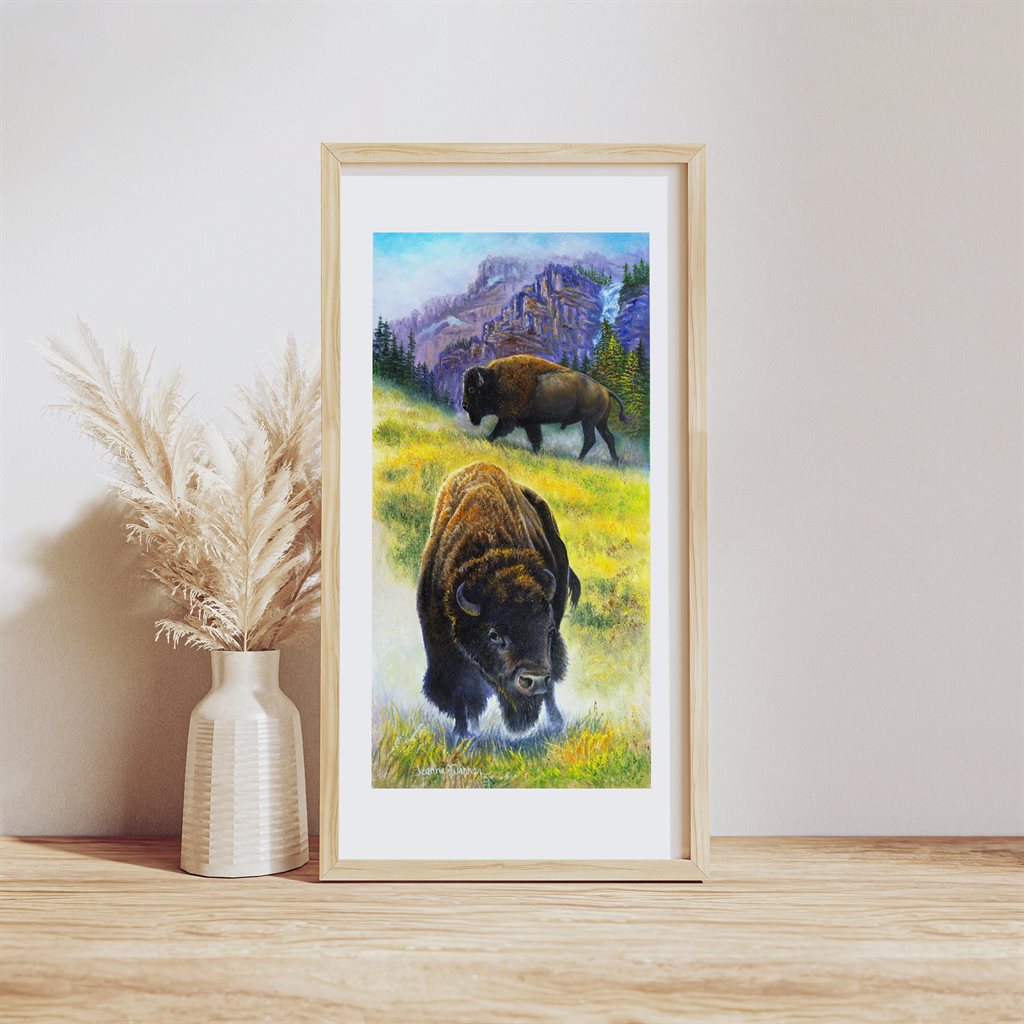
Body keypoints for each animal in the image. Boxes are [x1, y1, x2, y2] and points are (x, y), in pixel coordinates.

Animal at [416, 461, 581, 736]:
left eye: (546, 632)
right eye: (494, 635)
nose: (534, 680)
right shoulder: (442, 648)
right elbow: (461, 690)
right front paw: (462, 732)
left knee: (552, 686)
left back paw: (556, 723)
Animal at [462, 354, 627, 463]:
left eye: (471, 389)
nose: (464, 405)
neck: (495, 380)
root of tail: (605, 390)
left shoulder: (508, 418)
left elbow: (497, 431)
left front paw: (486, 440)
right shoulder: (530, 422)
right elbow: (536, 439)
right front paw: (536, 454)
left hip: (589, 422)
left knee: (590, 439)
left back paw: (579, 459)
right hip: (599, 423)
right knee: (609, 438)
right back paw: (615, 462)